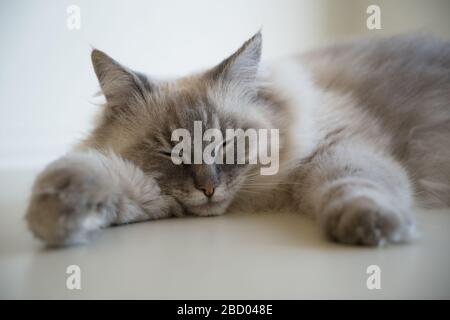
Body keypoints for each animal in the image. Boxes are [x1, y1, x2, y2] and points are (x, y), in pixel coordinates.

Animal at [25, 31, 450, 248]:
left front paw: (370, 226)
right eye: (170, 152)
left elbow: (353, 184)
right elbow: (105, 178)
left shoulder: (340, 145)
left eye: (224, 143)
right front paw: (56, 213)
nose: (209, 189)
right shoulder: (153, 191)